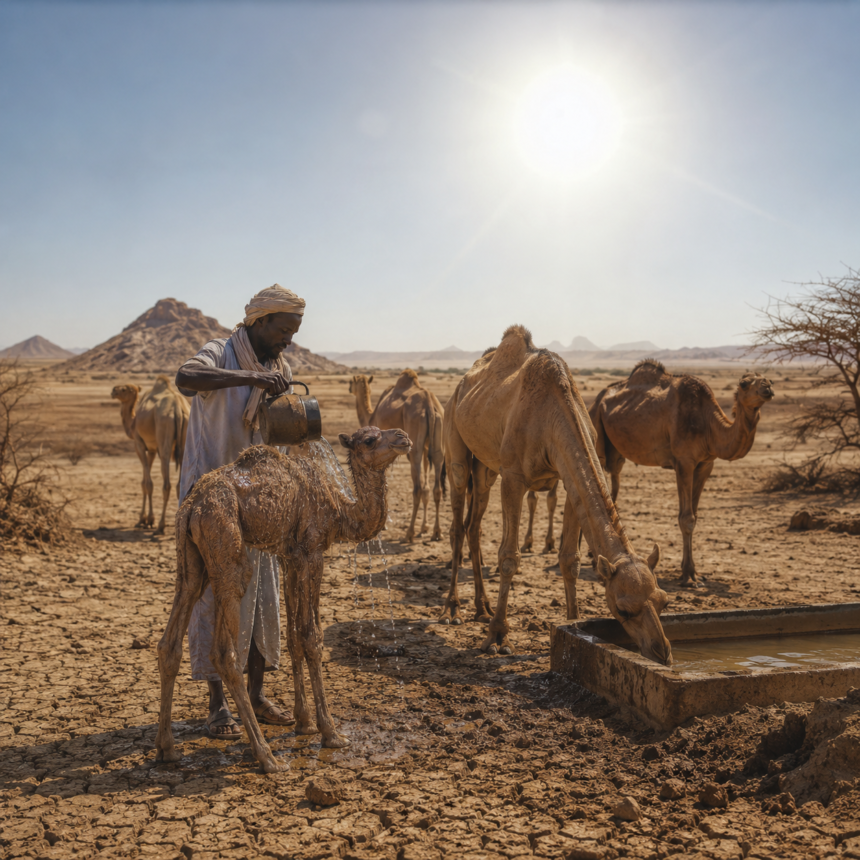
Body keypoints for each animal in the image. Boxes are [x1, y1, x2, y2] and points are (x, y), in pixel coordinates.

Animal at [111, 376, 190, 535]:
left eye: (124, 389)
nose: (113, 390)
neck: (133, 423)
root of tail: (179, 409)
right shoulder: (152, 450)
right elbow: (145, 481)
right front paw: (146, 519)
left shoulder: (139, 444)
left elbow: (146, 484)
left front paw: (145, 520)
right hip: (187, 436)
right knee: (180, 484)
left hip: (164, 429)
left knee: (166, 484)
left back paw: (160, 526)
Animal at [155, 426, 412, 773]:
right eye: (370, 439)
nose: (402, 436)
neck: (339, 509)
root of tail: (192, 505)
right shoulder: (313, 551)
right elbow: (312, 637)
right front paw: (331, 732)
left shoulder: (289, 557)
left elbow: (292, 637)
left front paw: (304, 722)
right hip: (225, 541)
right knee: (224, 652)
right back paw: (267, 757)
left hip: (191, 557)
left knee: (171, 640)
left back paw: (167, 749)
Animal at [349, 370, 445, 542]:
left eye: (350, 382)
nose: (349, 388)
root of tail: (429, 404)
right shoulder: (424, 448)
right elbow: (427, 488)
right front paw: (425, 527)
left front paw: (383, 526)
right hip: (438, 432)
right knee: (436, 482)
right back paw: (437, 532)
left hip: (414, 440)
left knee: (417, 487)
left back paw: (409, 533)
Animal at [441, 326, 672, 665]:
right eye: (623, 609)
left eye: (663, 601)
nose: (662, 652)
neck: (552, 413)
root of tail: (461, 386)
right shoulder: (513, 476)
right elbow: (509, 557)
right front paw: (497, 638)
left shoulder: (566, 478)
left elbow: (569, 559)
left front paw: (576, 624)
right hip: (455, 444)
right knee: (458, 523)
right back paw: (452, 610)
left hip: (485, 467)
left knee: (474, 525)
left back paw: (481, 609)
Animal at [589, 360, 775, 587]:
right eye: (744, 383)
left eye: (768, 379)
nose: (767, 387)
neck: (708, 424)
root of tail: (597, 399)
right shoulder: (684, 461)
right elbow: (686, 519)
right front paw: (688, 576)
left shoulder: (705, 464)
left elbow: (694, 515)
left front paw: (694, 572)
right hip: (595, 425)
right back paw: (592, 560)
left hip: (615, 451)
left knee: (612, 488)